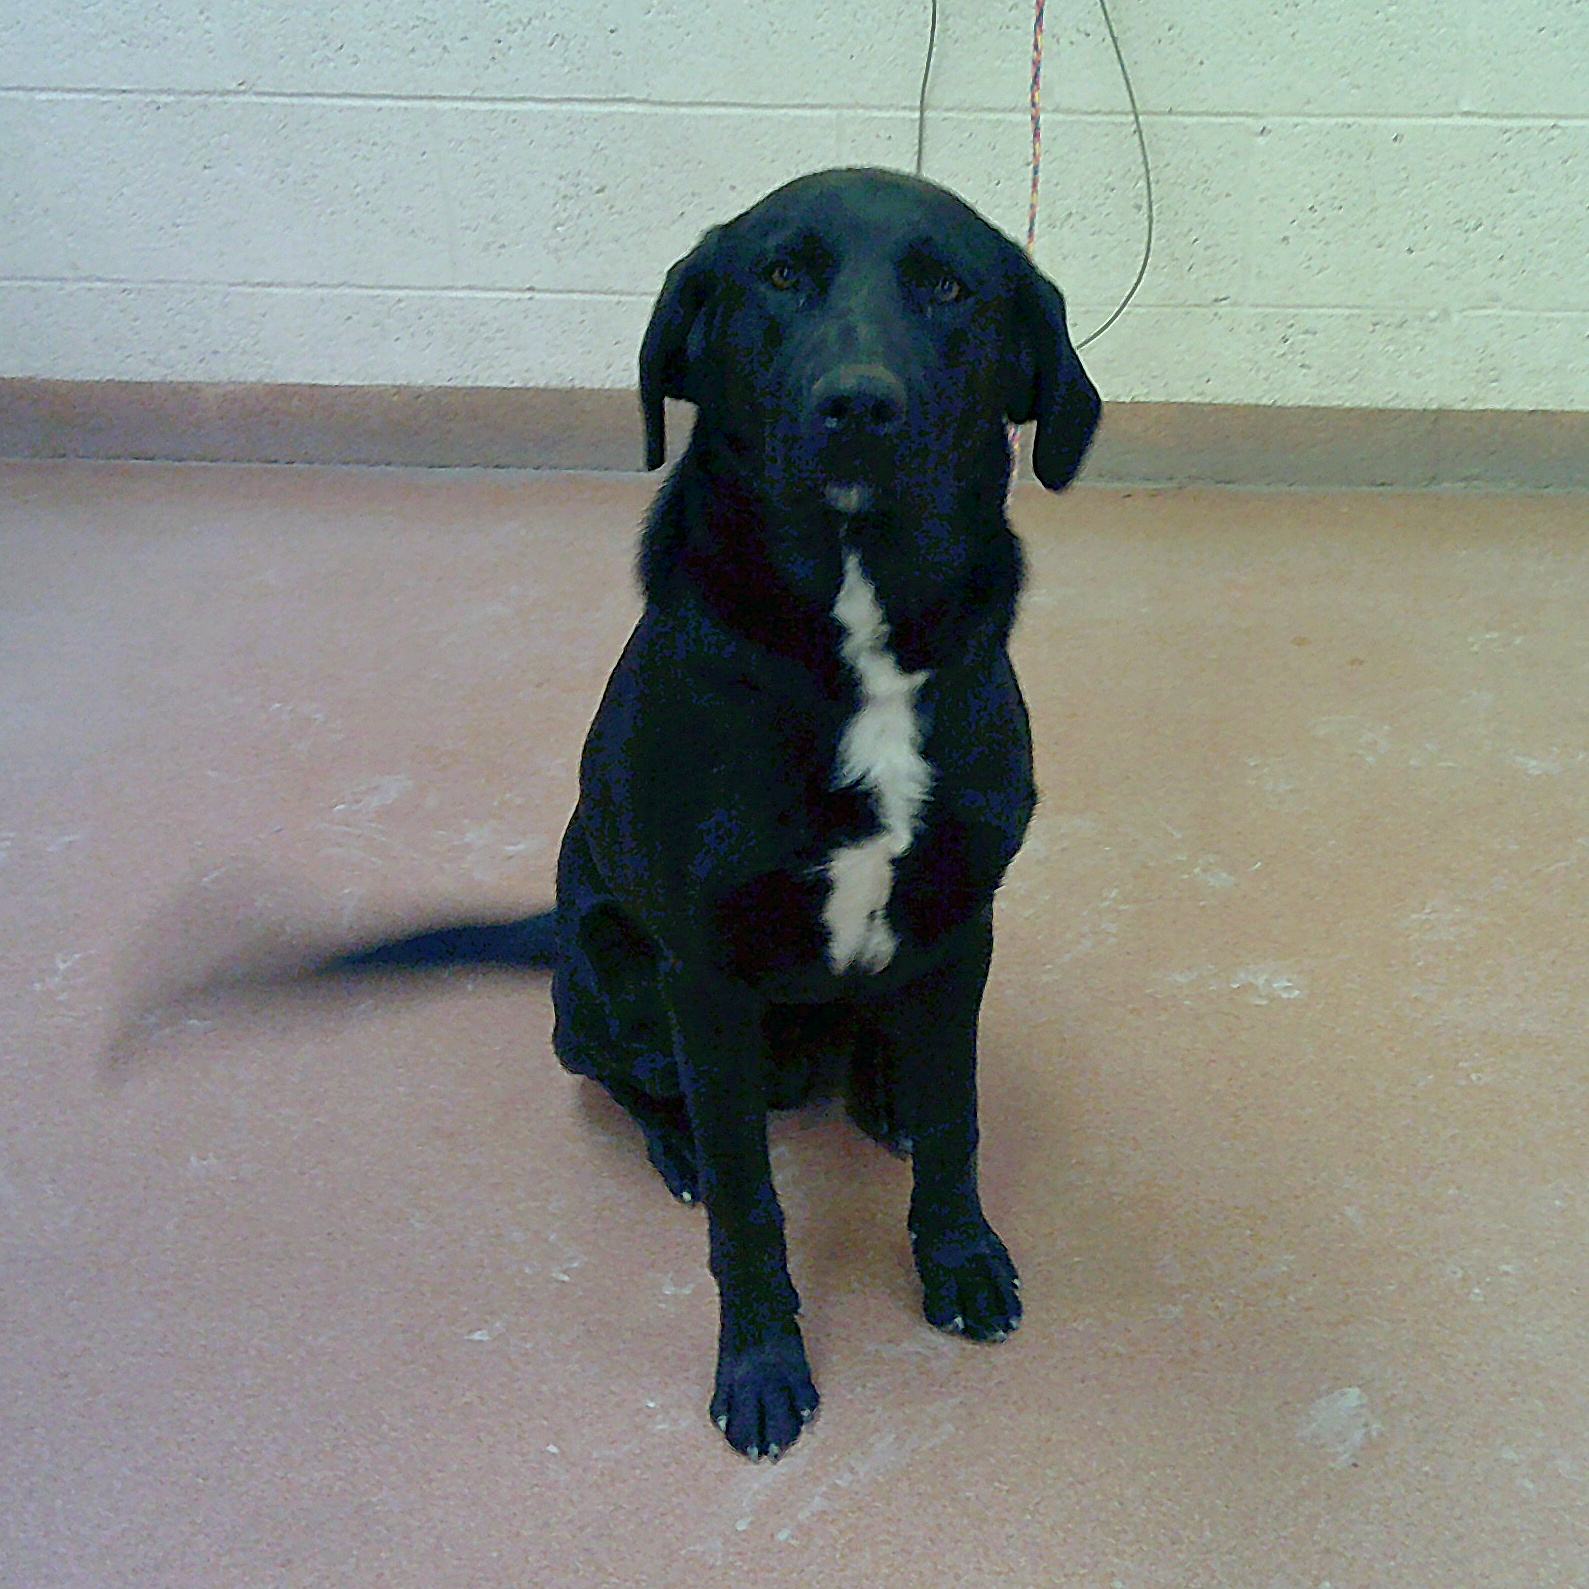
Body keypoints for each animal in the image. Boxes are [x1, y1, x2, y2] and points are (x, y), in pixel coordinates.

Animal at [340, 168, 1099, 1459]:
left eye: (948, 286)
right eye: (779, 274)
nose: (858, 405)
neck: (858, 625)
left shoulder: (962, 920)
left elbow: (957, 1122)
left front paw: (955, 1255)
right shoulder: (705, 971)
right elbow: (750, 1204)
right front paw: (759, 1361)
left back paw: (881, 1086)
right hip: (610, 974)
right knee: (632, 1079)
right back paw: (680, 1136)